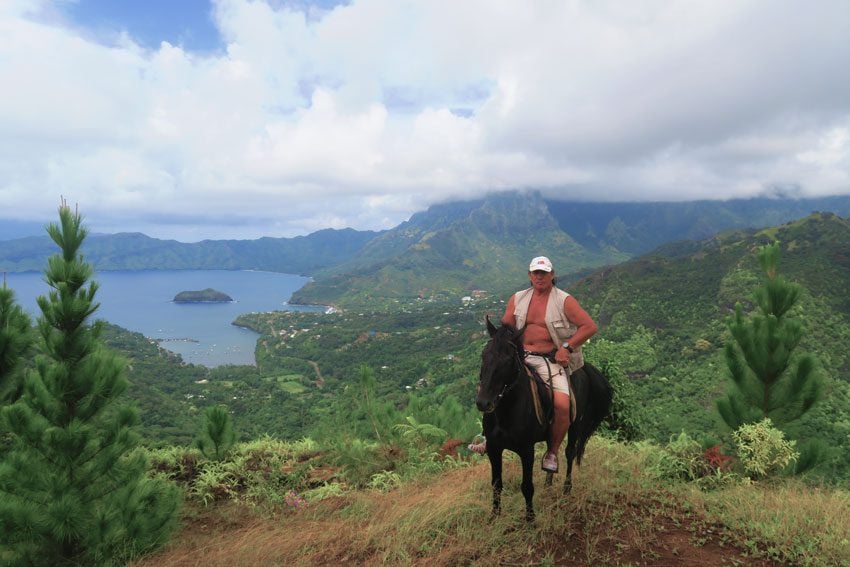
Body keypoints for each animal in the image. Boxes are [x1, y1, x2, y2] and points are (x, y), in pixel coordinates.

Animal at [476, 318, 608, 520]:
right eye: (484, 354)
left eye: (507, 360)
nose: (483, 402)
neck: (506, 411)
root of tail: (582, 369)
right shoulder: (493, 448)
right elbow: (496, 484)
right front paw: (494, 516)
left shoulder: (526, 450)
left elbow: (527, 487)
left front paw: (530, 519)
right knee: (551, 449)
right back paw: (548, 484)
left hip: (575, 425)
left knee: (569, 453)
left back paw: (566, 490)